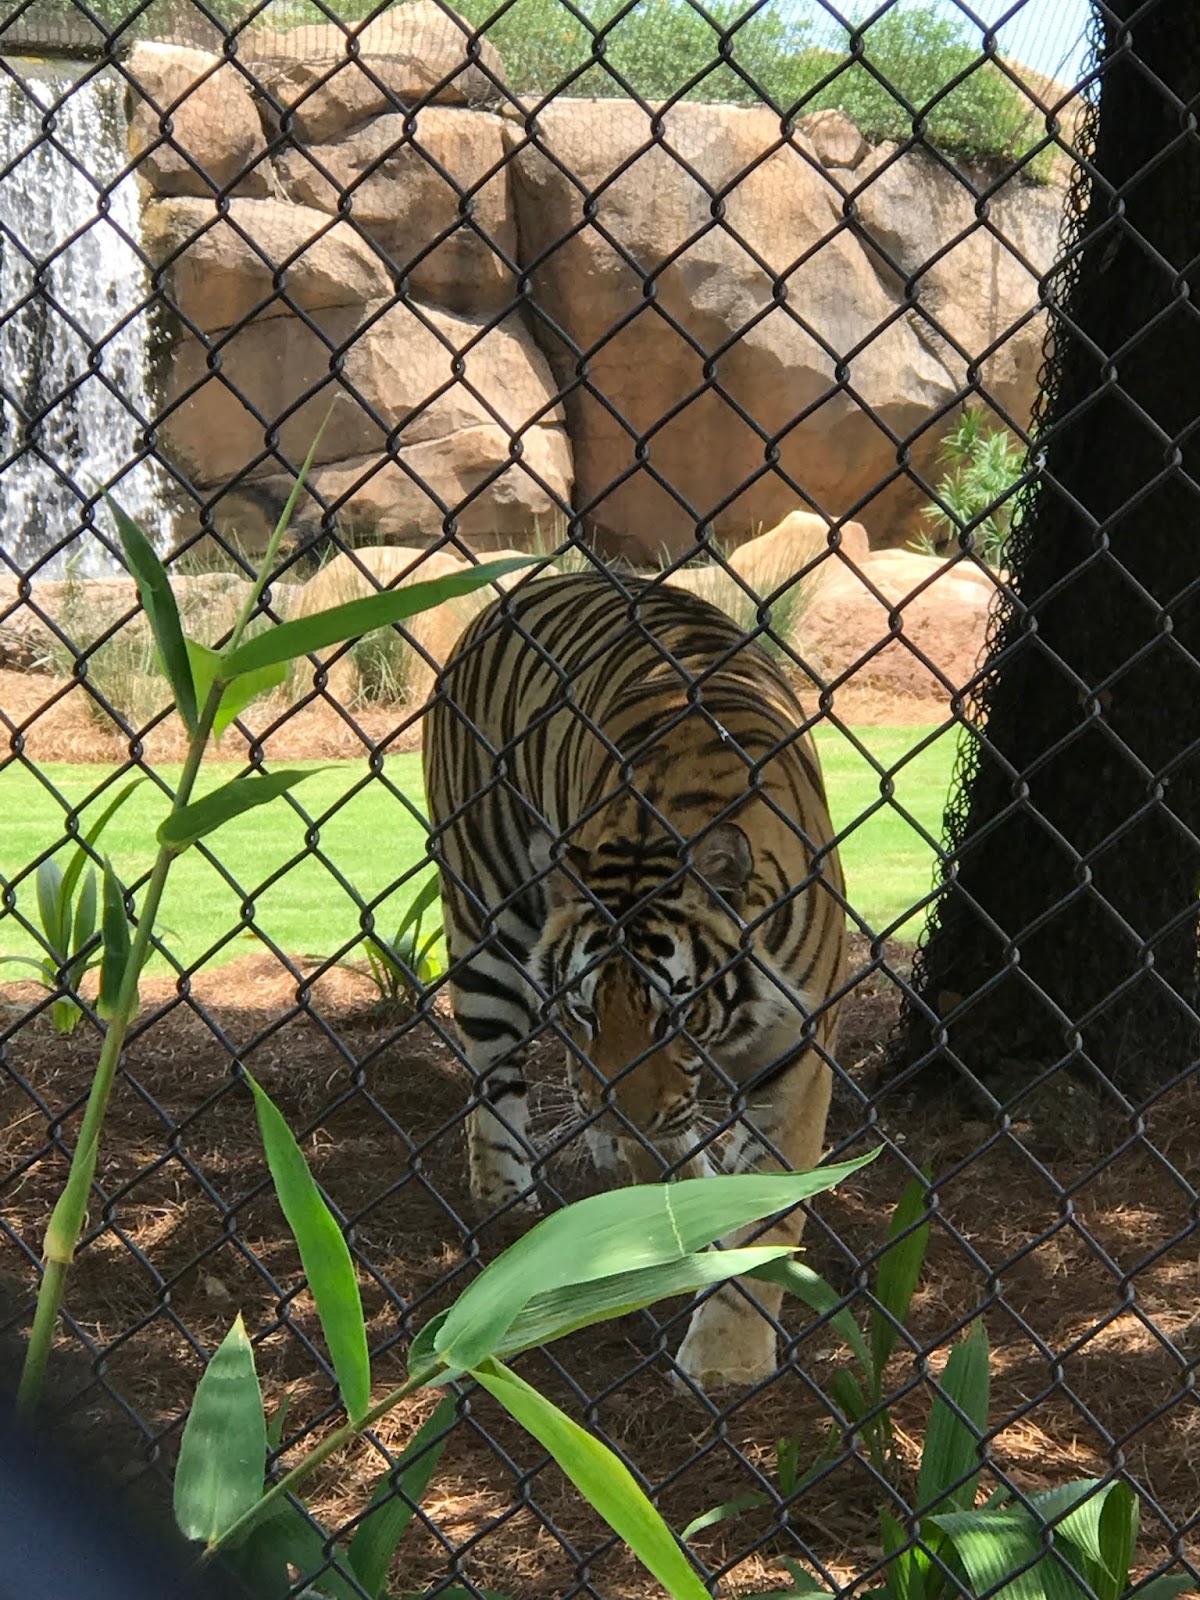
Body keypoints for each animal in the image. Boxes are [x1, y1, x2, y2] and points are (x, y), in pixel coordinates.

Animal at [422, 570, 846, 1389]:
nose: (621, 1117)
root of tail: (518, 590)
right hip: (484, 913)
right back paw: (507, 1202)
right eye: (589, 1011)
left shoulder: (797, 1050)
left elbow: (770, 1205)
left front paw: (727, 1358)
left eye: (672, 1013)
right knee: (495, 1078)